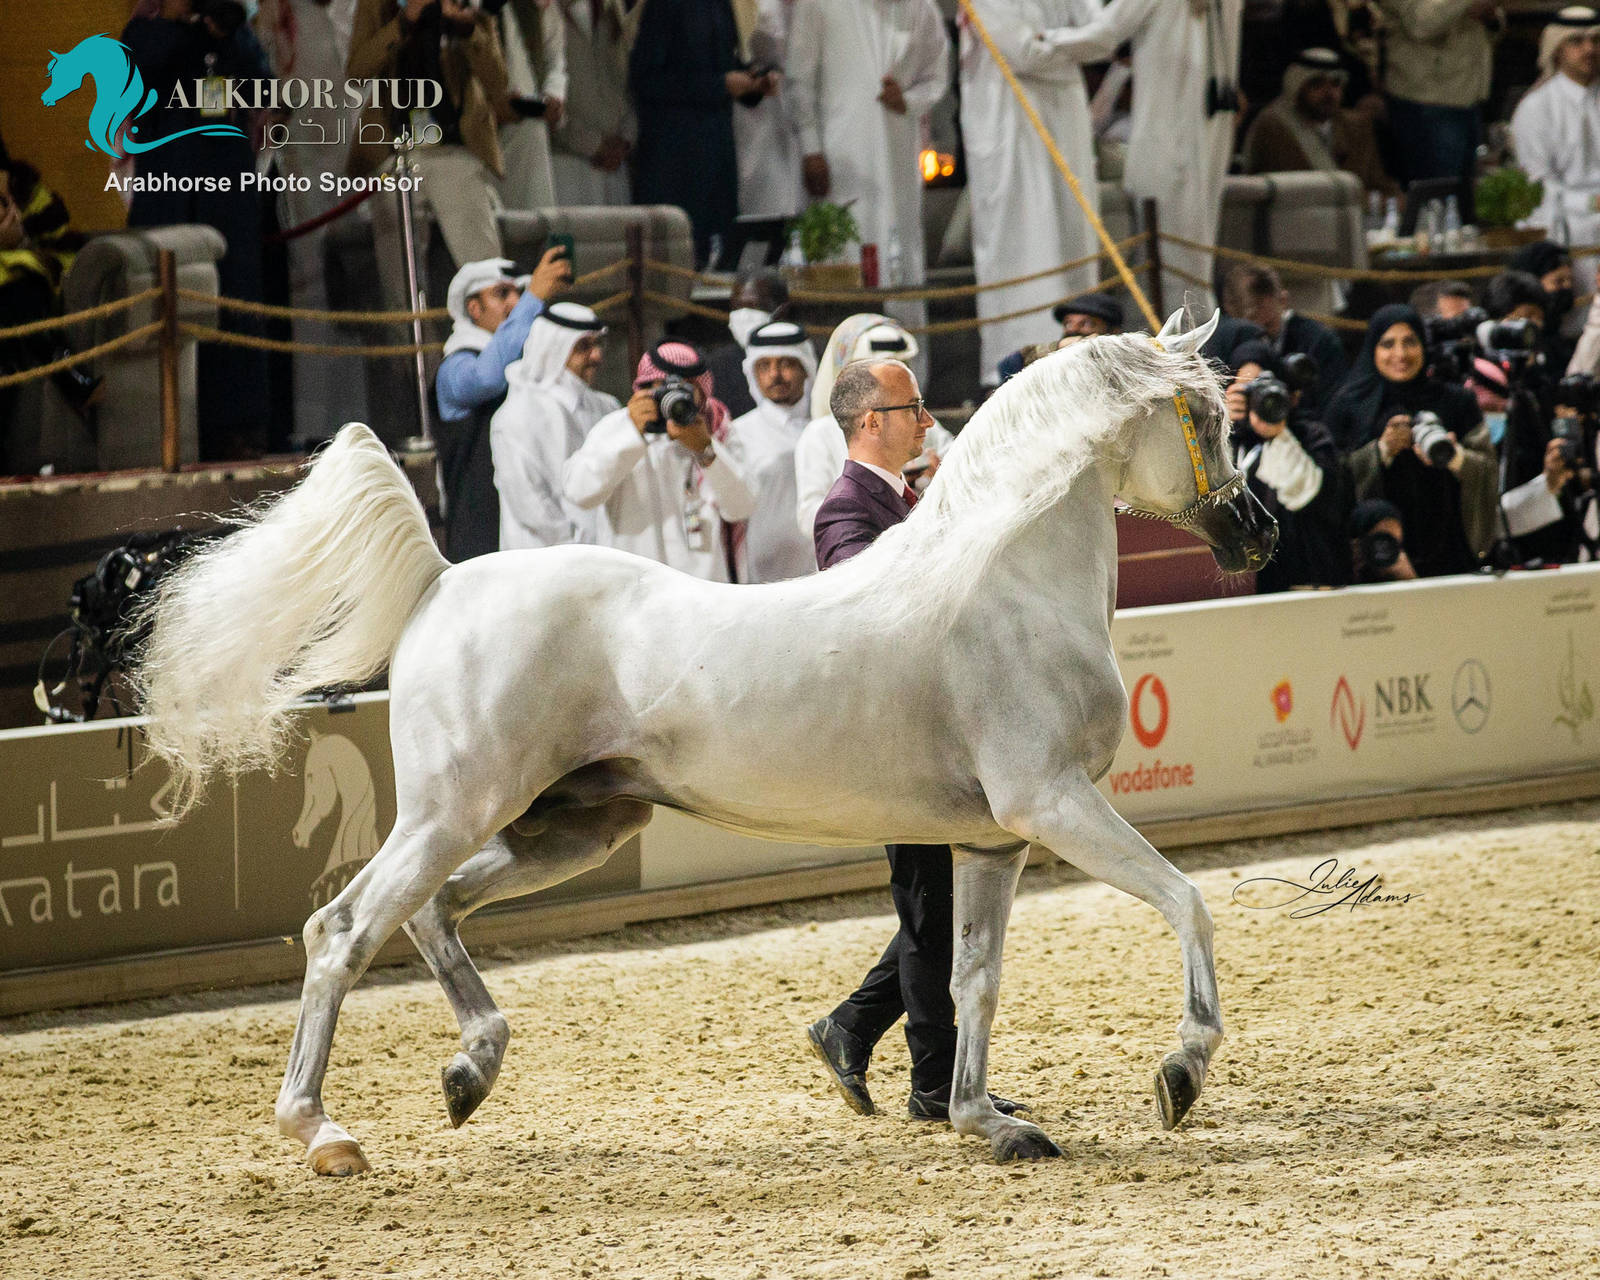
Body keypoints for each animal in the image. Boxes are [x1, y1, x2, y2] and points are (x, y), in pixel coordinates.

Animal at [132, 310, 1276, 1176]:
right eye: (1205, 415)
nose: (1259, 532)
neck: (1006, 579)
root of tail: (444, 578)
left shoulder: (993, 840)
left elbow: (969, 980)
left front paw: (989, 1122)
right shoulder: (1055, 805)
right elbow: (1188, 900)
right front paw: (1180, 1073)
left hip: (574, 825)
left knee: (433, 913)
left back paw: (469, 1072)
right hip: (453, 812)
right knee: (342, 929)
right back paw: (323, 1132)